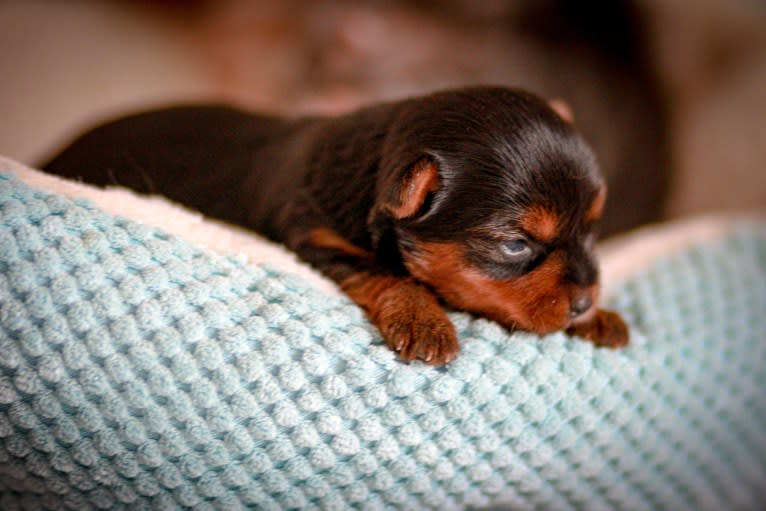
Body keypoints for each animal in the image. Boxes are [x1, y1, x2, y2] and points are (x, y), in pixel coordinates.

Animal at [43, 87, 632, 364]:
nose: (584, 301)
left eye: (593, 229)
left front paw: (600, 319)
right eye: (514, 246)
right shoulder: (317, 239)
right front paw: (426, 321)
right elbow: (389, 275)